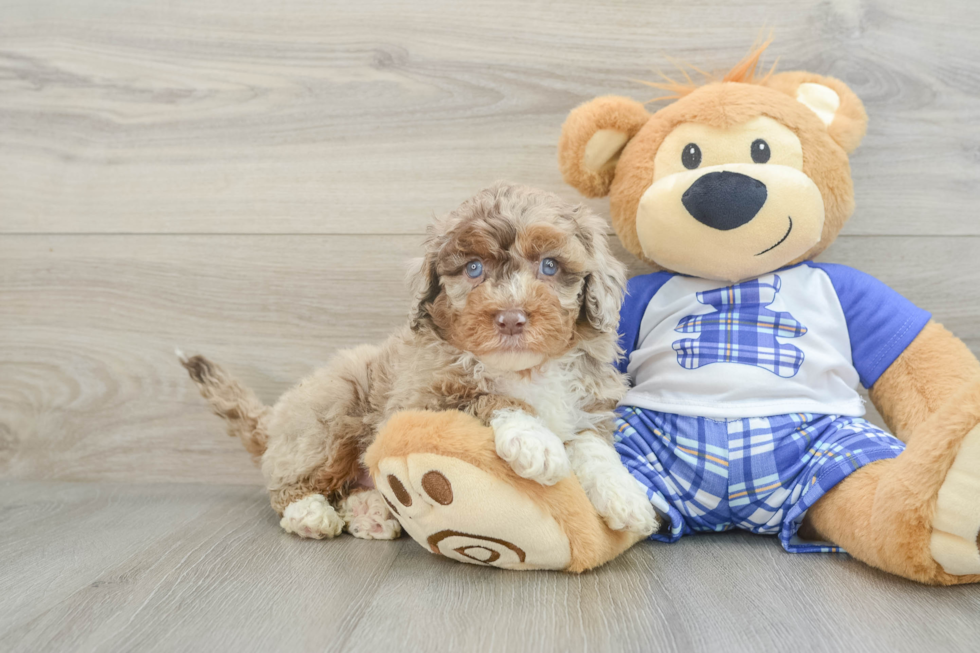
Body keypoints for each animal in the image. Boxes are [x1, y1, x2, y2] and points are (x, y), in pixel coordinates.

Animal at [181, 183, 664, 540]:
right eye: (473, 269)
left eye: (549, 266)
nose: (511, 317)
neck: (524, 367)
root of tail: (276, 421)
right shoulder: (419, 399)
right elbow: (485, 397)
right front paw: (536, 441)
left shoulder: (589, 403)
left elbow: (592, 445)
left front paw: (625, 496)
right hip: (331, 413)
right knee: (289, 481)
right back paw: (309, 513)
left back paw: (370, 512)